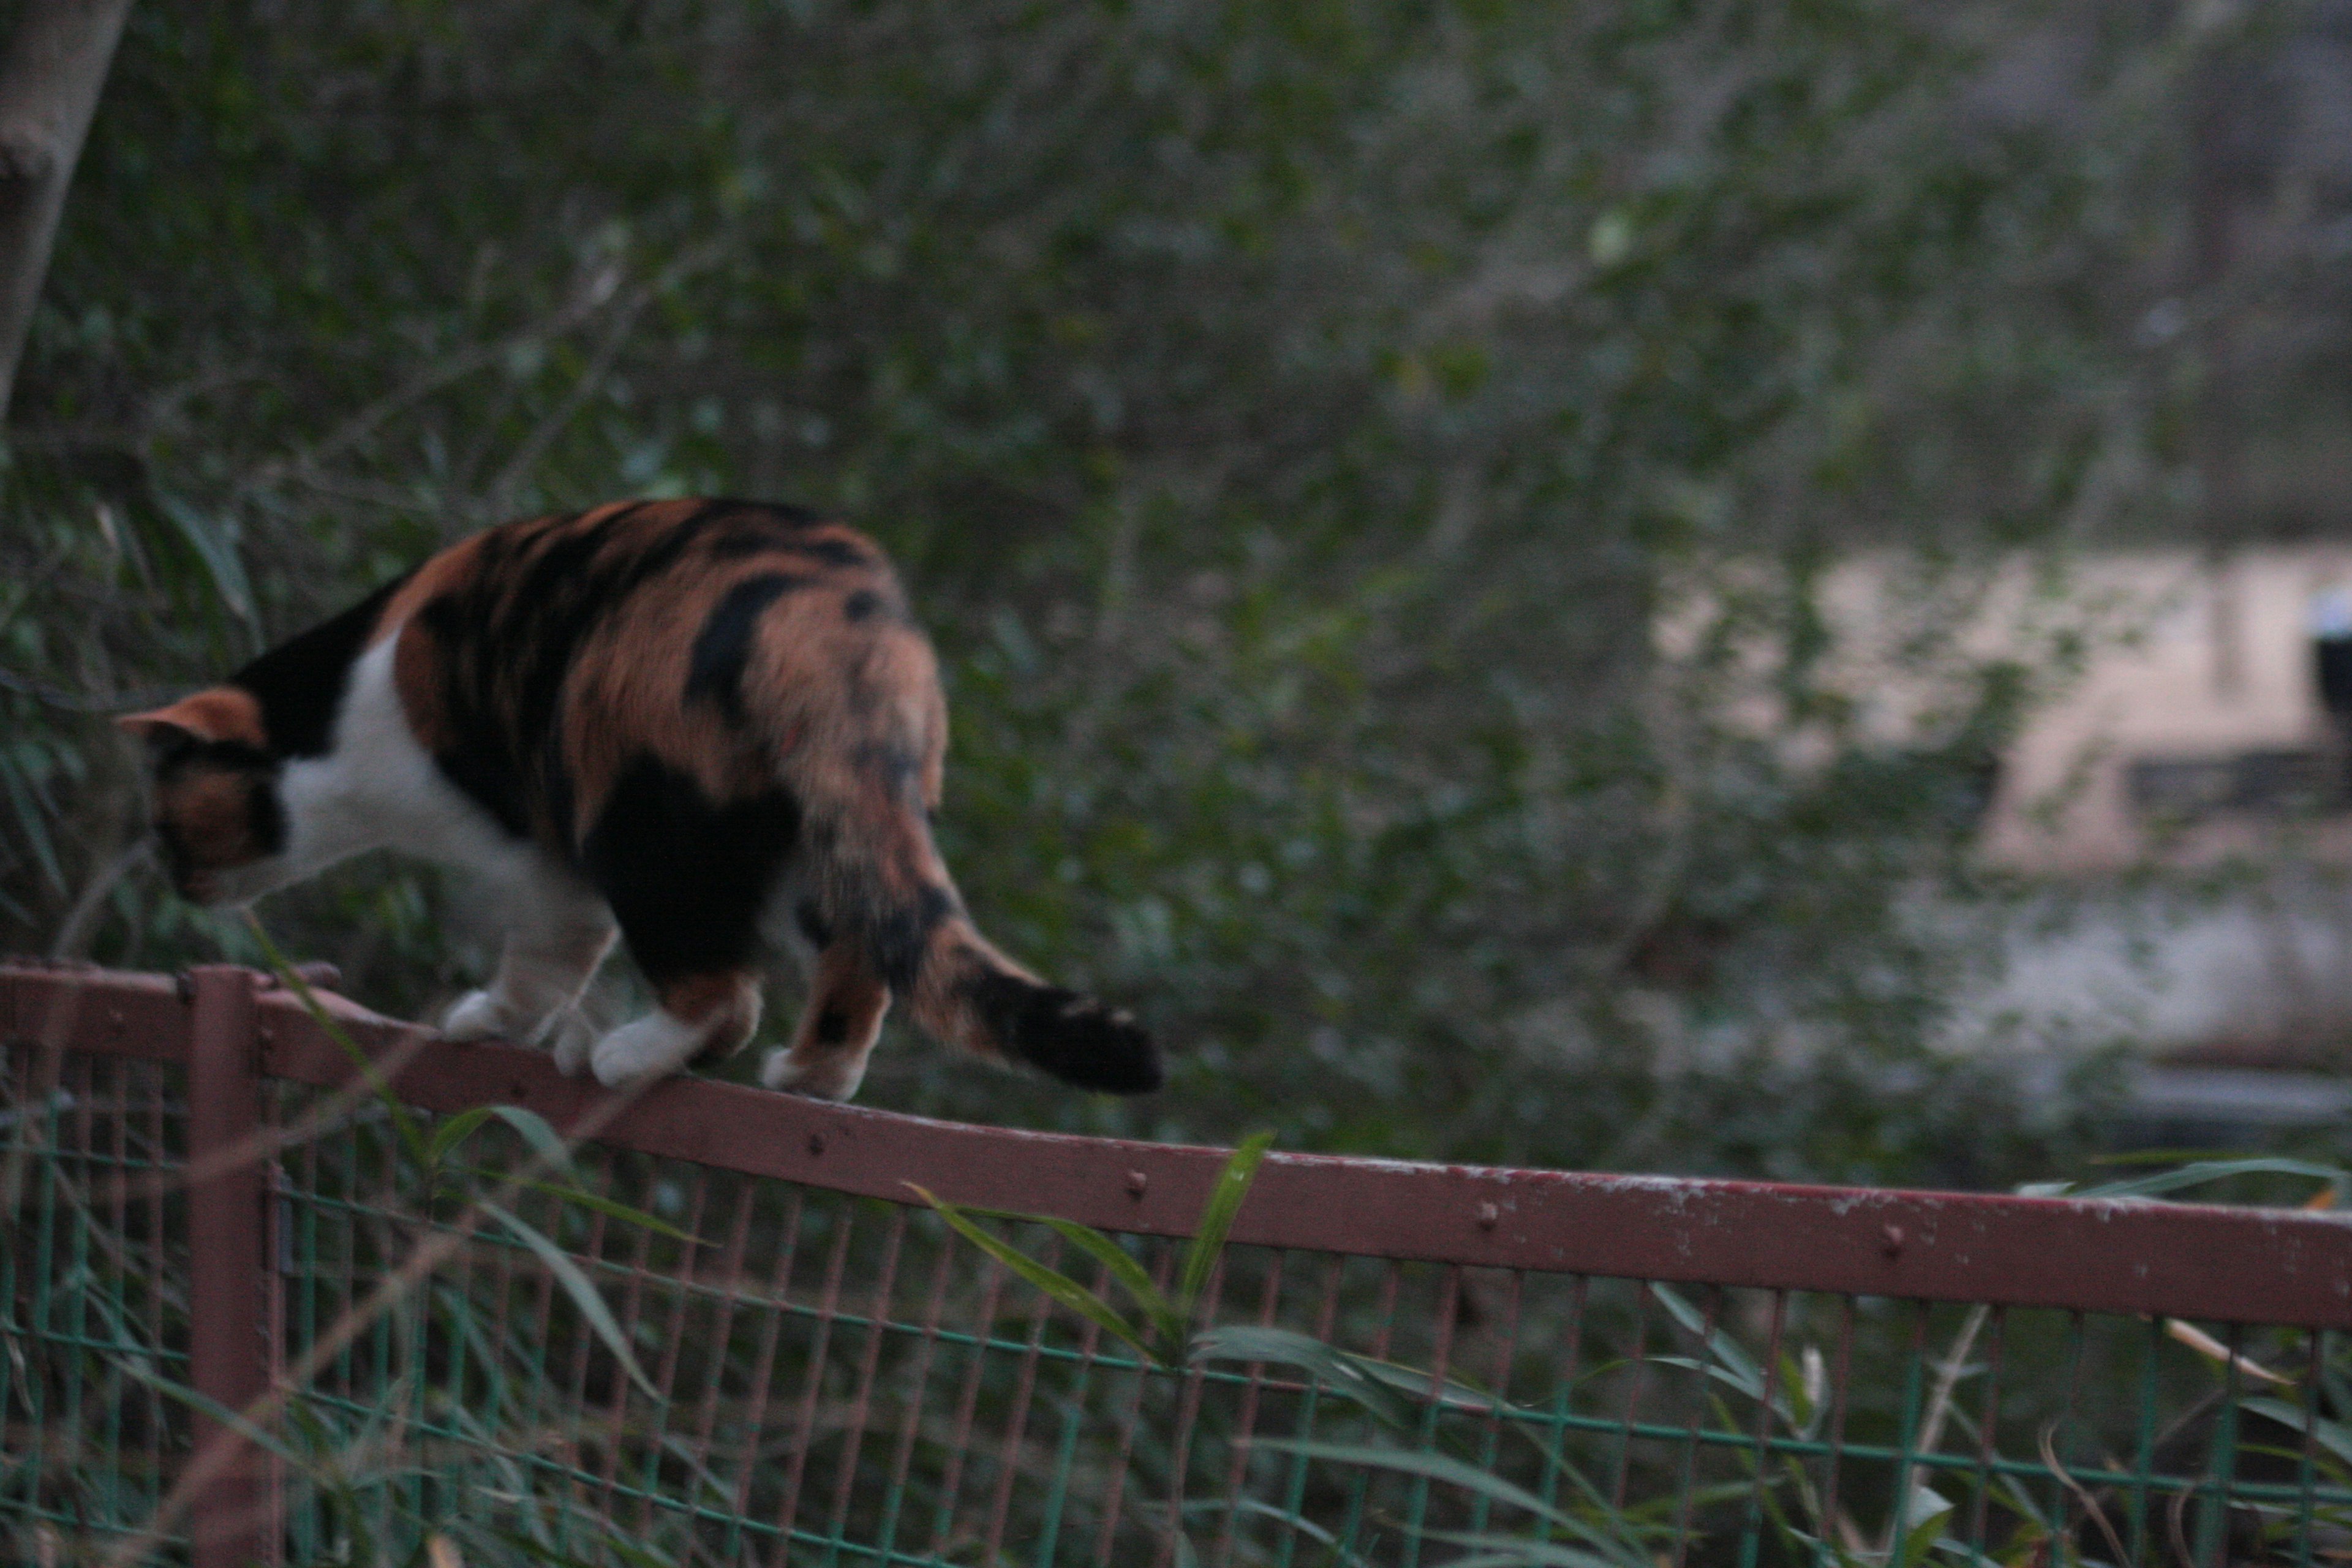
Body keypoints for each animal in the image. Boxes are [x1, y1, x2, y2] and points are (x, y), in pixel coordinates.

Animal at [119, 496, 1166, 1100]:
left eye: (164, 820)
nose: (168, 878)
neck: (339, 708)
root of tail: (824, 618)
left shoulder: (531, 842)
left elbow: (549, 950)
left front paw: (497, 1021)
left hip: (636, 808)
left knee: (723, 995)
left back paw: (631, 1054)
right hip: (830, 822)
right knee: (861, 944)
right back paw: (813, 1073)